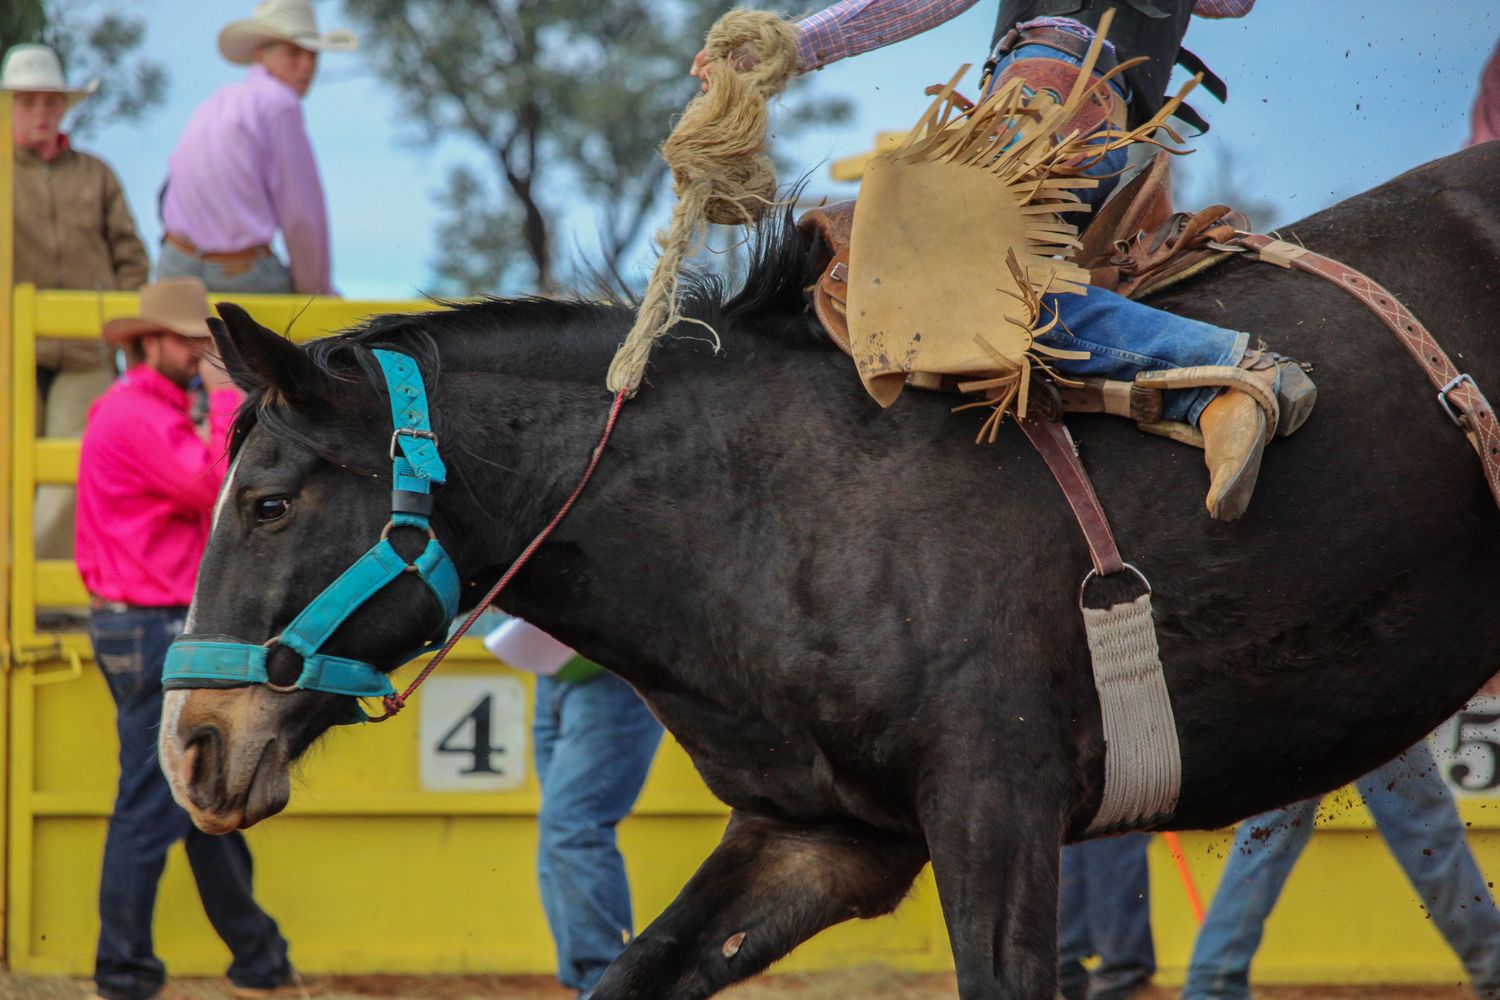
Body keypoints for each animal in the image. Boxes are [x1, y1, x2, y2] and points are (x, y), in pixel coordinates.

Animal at [160, 144, 1500, 999]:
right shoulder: (818, 833)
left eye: (271, 503)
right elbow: (639, 967)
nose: (190, 744)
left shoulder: (997, 809)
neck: (774, 506)